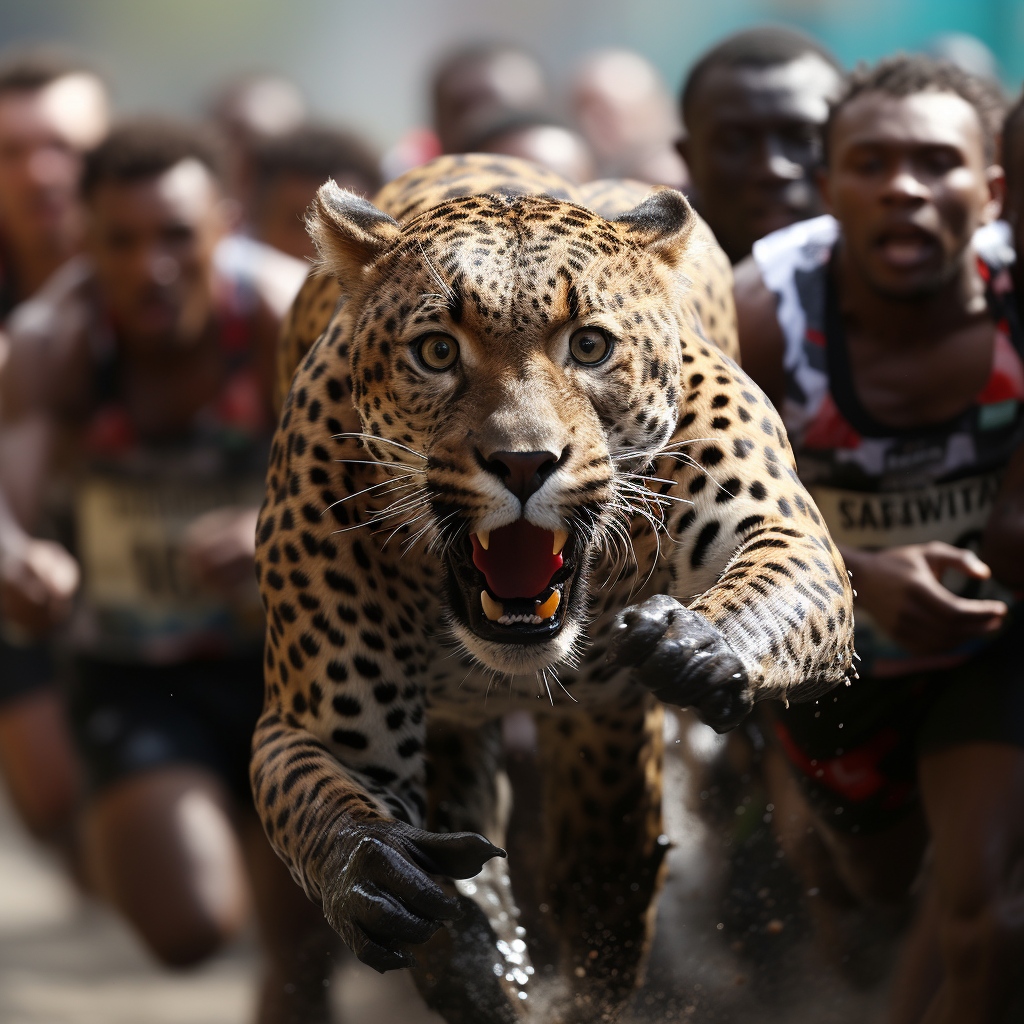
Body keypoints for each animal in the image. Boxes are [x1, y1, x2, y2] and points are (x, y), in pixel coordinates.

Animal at [253, 153, 856, 1024]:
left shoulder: (782, 534)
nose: (524, 462)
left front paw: (696, 646)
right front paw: (372, 869)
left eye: (590, 346)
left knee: (603, 882)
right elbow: (323, 797)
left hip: (605, 754)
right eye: (438, 351)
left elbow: (782, 569)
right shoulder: (333, 728)